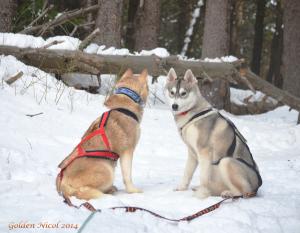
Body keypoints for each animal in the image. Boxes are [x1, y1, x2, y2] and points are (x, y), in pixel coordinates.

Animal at [56, 68, 149, 200]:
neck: (125, 105)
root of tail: (62, 183)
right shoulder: (127, 151)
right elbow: (127, 176)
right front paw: (133, 191)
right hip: (106, 170)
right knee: (81, 192)